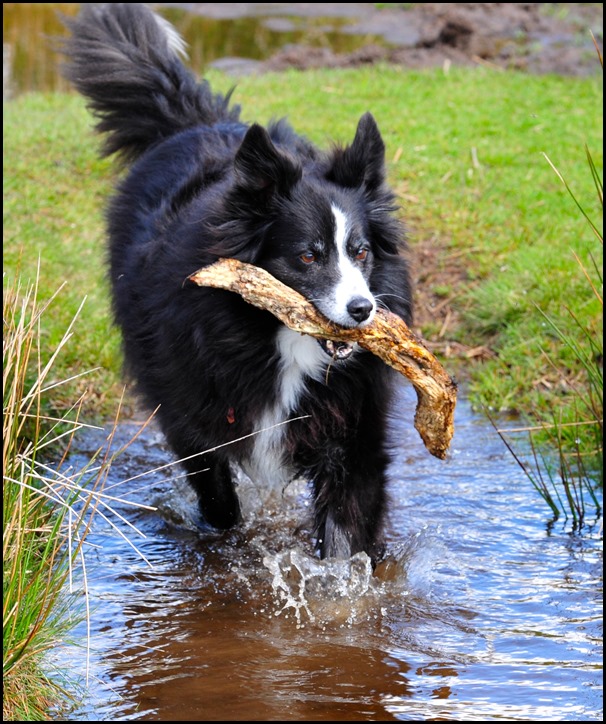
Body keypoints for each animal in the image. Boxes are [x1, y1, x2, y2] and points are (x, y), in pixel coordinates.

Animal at [61, 3, 413, 560]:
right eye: (307, 256)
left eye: (361, 251)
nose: (362, 311)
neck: (278, 341)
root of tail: (200, 123)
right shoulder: (194, 388)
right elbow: (216, 490)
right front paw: (228, 549)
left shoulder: (352, 408)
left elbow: (348, 517)